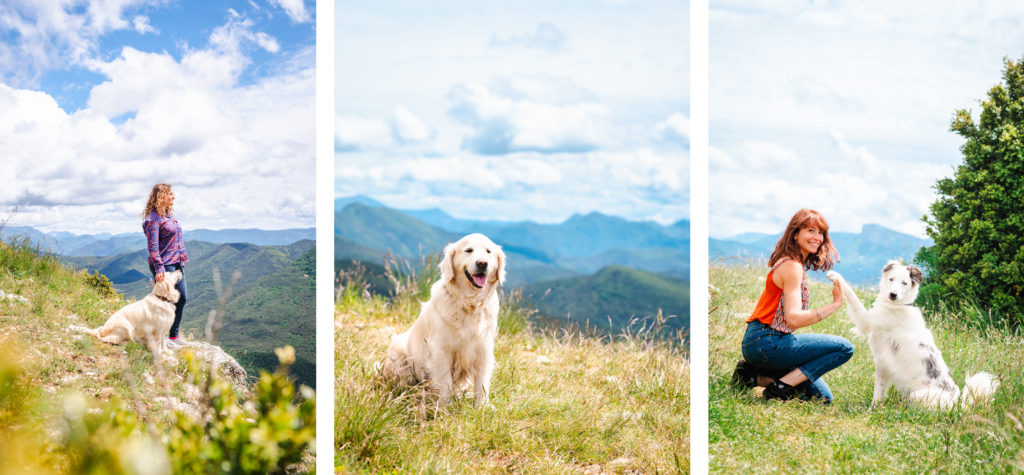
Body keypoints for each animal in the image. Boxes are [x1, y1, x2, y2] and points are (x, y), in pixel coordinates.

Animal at [385, 232, 507, 405]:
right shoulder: (440, 351)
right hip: (399, 354)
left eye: (488, 251)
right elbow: (445, 383)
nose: (482, 263)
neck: (469, 305)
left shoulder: (483, 350)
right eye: (468, 250)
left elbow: (481, 384)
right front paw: (445, 408)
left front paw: (482, 407)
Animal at [823, 262, 999, 409]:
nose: (893, 294)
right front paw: (873, 409)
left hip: (917, 395)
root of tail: (958, 404)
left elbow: (851, 294)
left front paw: (835, 276)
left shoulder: (866, 320)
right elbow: (878, 391)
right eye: (891, 279)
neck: (899, 306)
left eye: (904, 283)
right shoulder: (883, 365)